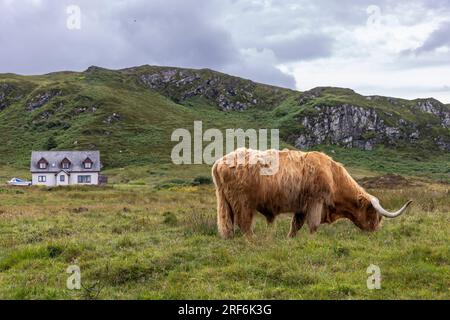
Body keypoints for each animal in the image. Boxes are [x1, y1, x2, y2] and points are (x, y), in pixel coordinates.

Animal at [213, 148, 414, 238]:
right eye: (375, 215)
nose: (376, 232)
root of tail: (220, 162)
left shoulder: (302, 207)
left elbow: (296, 226)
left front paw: (290, 239)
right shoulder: (316, 201)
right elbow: (313, 225)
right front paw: (312, 240)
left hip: (225, 202)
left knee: (227, 225)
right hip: (243, 203)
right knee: (244, 224)